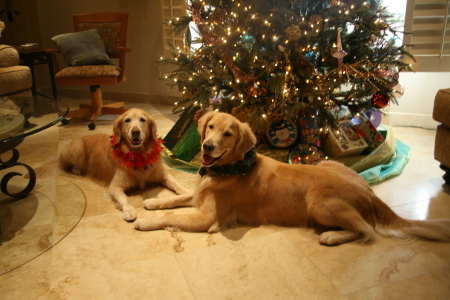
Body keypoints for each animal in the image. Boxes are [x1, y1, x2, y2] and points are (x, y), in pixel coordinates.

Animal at [59, 107, 190, 220]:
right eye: (127, 120)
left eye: (142, 119)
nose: (135, 131)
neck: (138, 155)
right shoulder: (115, 186)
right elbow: (124, 198)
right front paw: (129, 210)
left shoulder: (163, 175)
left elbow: (177, 185)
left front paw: (186, 192)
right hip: (78, 148)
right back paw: (77, 170)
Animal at [134, 111, 450, 245]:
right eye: (210, 126)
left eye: (229, 133)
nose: (207, 147)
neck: (230, 169)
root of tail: (369, 191)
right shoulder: (200, 194)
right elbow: (178, 198)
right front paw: (151, 204)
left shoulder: (207, 218)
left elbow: (172, 217)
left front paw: (146, 222)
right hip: (331, 163)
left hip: (319, 203)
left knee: (367, 230)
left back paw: (332, 236)